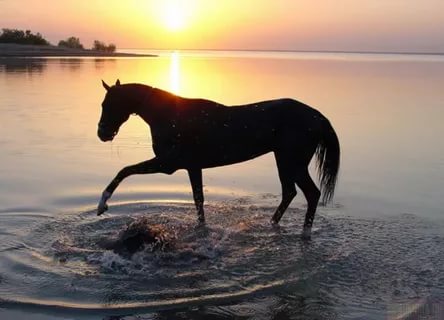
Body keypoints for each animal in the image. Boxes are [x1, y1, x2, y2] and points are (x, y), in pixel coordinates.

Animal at [97, 79, 340, 240]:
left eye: (107, 105)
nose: (102, 133)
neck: (168, 114)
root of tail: (318, 116)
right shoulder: (192, 167)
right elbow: (198, 200)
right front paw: (202, 230)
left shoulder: (167, 163)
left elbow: (124, 170)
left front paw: (102, 204)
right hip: (284, 161)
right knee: (290, 192)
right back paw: (272, 225)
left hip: (293, 162)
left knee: (311, 193)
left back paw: (304, 232)